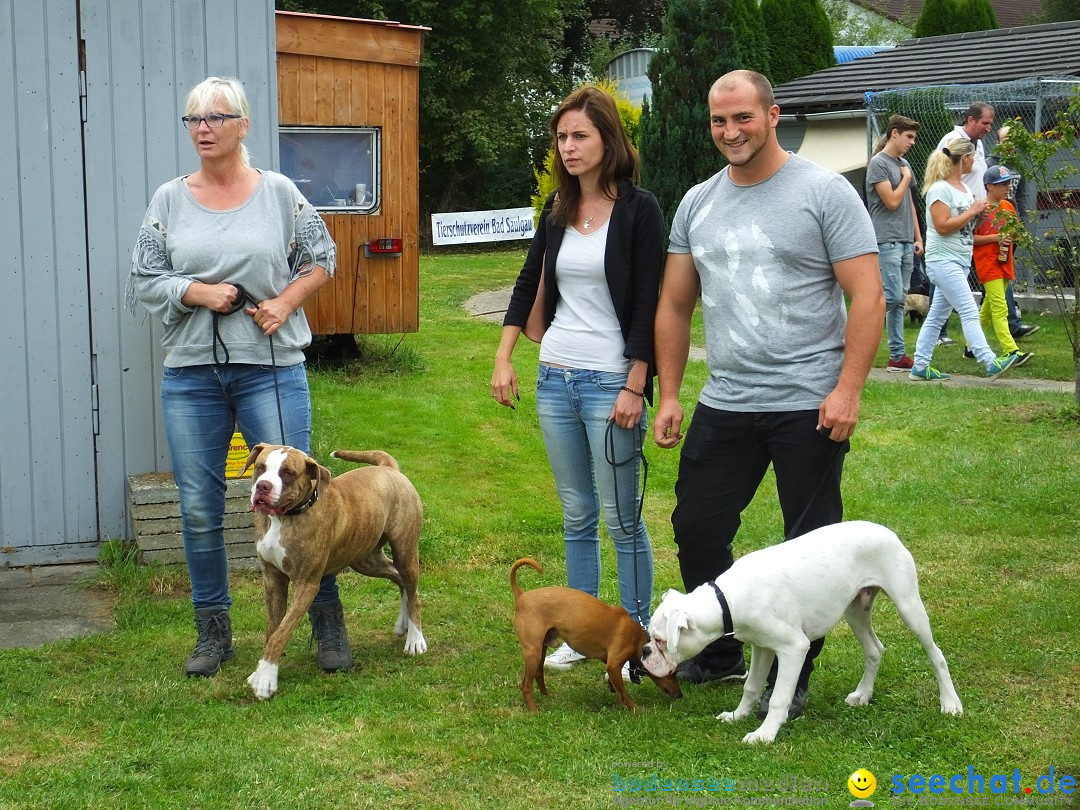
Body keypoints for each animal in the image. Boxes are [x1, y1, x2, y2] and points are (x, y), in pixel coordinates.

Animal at [509, 557, 678, 708]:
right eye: (672, 673)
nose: (680, 694)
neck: (638, 639)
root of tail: (521, 595)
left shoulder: (609, 663)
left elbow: (617, 688)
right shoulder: (613, 665)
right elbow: (624, 693)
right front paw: (635, 709)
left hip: (541, 649)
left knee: (539, 674)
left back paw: (547, 696)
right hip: (533, 652)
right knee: (525, 685)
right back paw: (534, 709)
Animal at [639, 522, 963, 747]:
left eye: (661, 641)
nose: (644, 652)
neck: (726, 599)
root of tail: (887, 531)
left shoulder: (793, 648)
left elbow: (779, 697)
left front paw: (764, 734)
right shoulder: (762, 647)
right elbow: (751, 686)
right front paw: (738, 716)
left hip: (909, 606)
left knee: (936, 655)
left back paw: (950, 704)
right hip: (855, 610)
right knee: (874, 650)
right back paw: (863, 694)